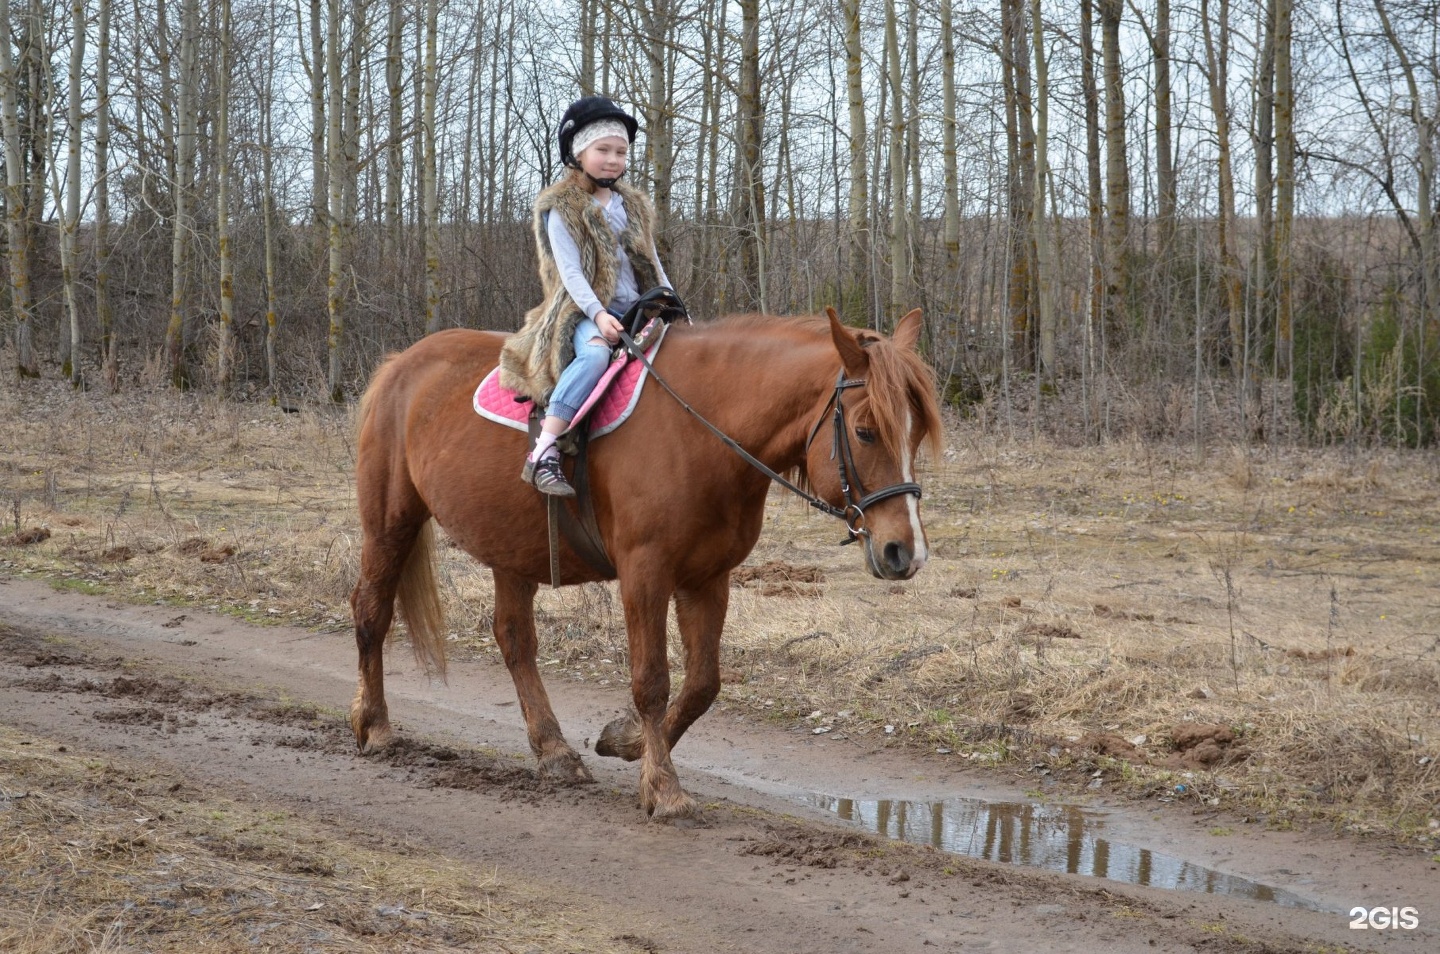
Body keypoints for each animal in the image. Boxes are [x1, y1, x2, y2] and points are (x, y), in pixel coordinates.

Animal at [351, 306, 944, 824]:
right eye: (866, 431)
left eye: (915, 432)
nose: (905, 552)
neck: (701, 432)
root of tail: (400, 365)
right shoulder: (645, 575)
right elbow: (652, 680)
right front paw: (664, 790)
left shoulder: (708, 579)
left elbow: (703, 684)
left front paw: (627, 740)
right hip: (390, 525)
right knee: (371, 613)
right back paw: (374, 725)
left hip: (510, 550)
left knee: (514, 639)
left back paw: (554, 751)